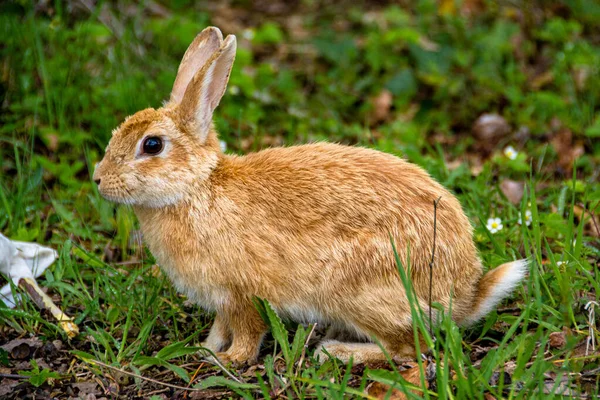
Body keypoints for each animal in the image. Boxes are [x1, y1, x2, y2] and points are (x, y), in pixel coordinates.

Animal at [91, 25, 528, 366]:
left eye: (151, 146)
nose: (98, 179)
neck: (196, 189)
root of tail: (465, 293)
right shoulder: (223, 301)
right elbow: (220, 326)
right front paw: (207, 348)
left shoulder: (242, 293)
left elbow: (248, 332)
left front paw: (229, 359)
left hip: (357, 290)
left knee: (409, 348)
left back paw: (337, 352)